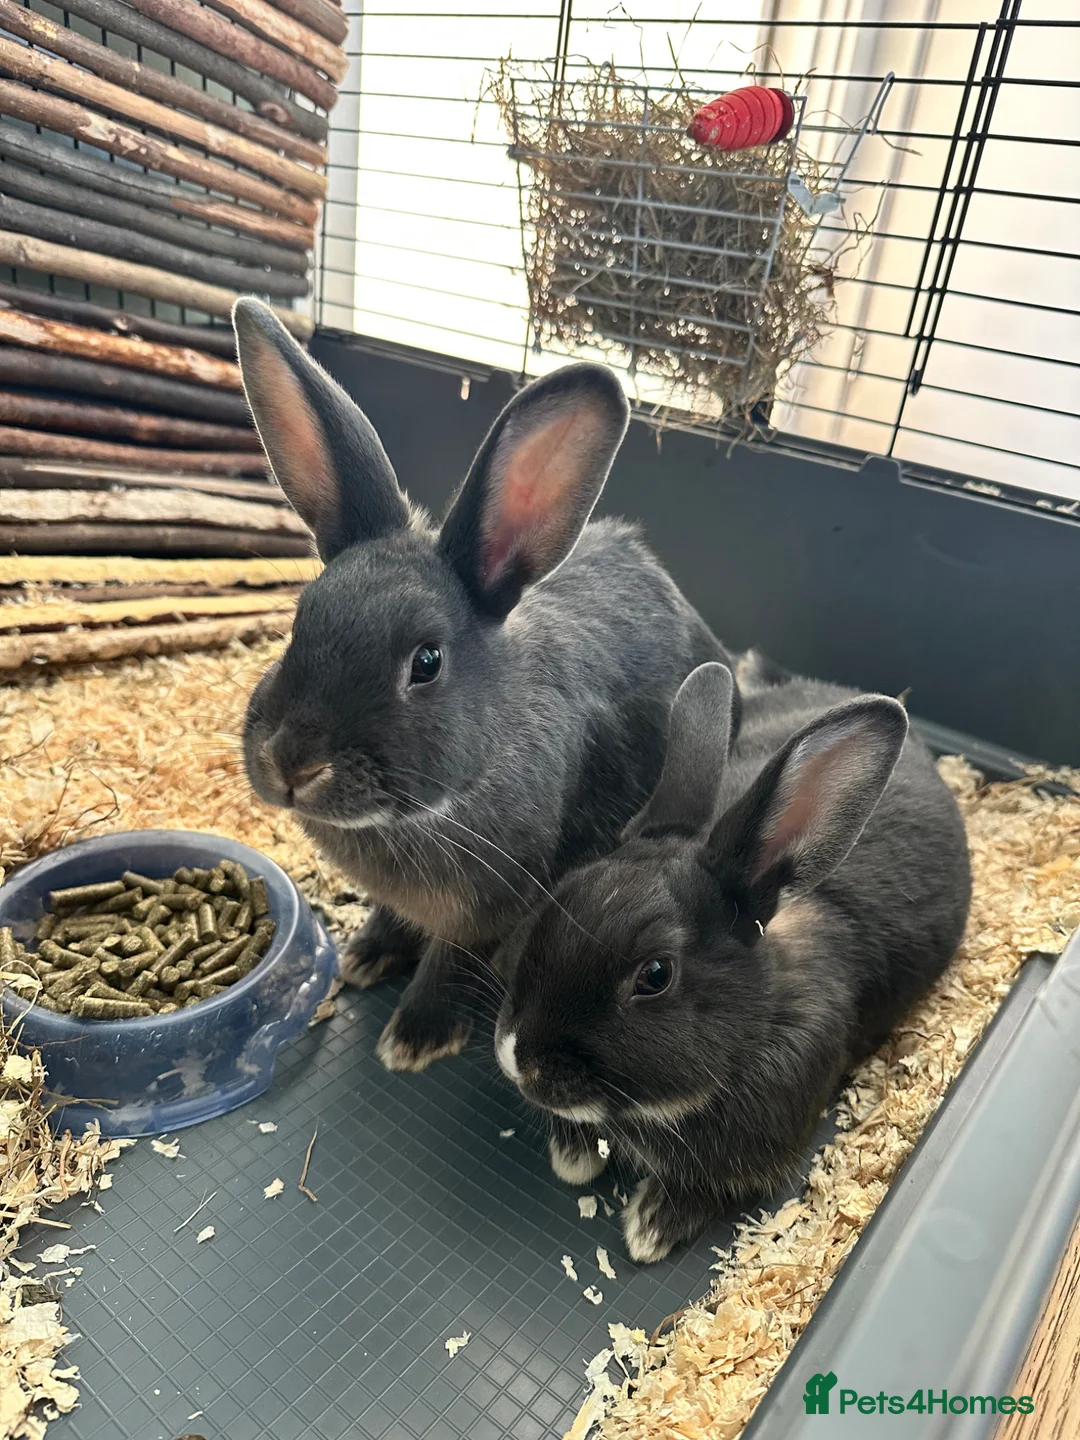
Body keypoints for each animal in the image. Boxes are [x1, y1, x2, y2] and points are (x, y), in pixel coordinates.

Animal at [233, 298, 740, 1073]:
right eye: (299, 622)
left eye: (427, 662)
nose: (292, 763)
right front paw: (365, 956)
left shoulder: (496, 905)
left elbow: (455, 961)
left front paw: (414, 1037)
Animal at [494, 661, 971, 1263]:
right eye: (562, 892)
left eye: (655, 975)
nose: (518, 1061)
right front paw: (574, 1159)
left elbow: (707, 1189)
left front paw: (650, 1229)